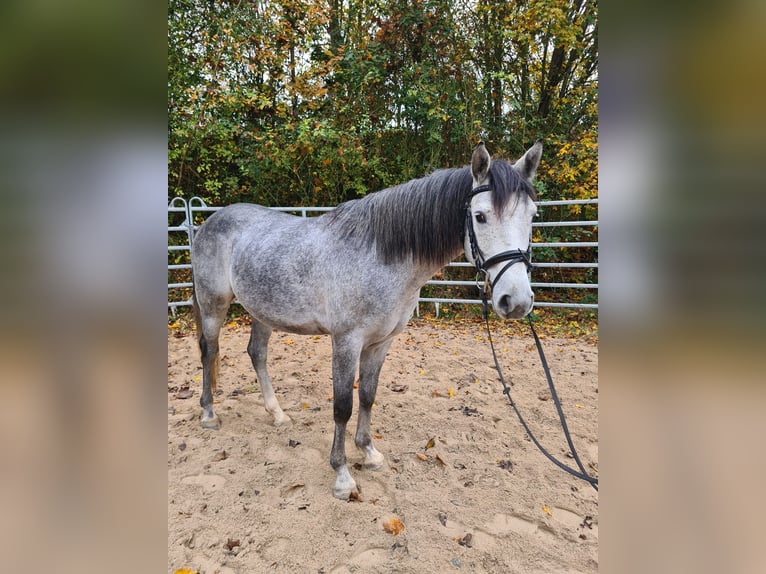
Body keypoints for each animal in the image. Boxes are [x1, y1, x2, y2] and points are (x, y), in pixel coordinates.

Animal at [190, 143, 540, 500]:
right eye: (480, 216)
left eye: (532, 215)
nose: (516, 301)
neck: (379, 256)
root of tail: (209, 222)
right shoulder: (346, 341)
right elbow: (342, 406)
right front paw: (342, 476)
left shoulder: (381, 342)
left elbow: (368, 396)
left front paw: (369, 453)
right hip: (213, 304)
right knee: (209, 351)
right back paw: (209, 414)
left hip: (262, 310)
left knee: (257, 353)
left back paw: (277, 414)